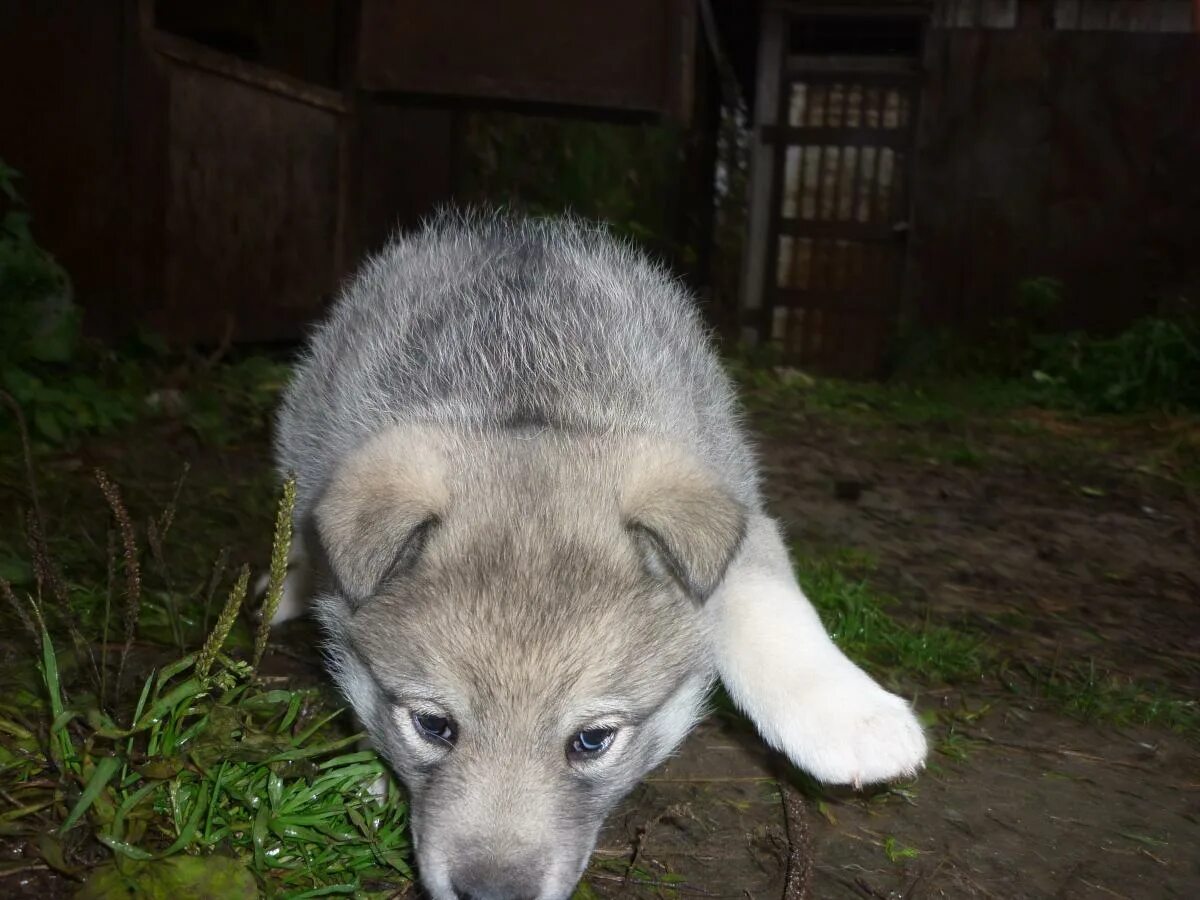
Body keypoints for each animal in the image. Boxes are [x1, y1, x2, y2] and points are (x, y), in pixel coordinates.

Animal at [274, 213, 926, 900]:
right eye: (433, 726)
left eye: (592, 740)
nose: (494, 895)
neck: (526, 395)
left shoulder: (734, 510)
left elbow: (761, 599)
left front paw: (851, 717)